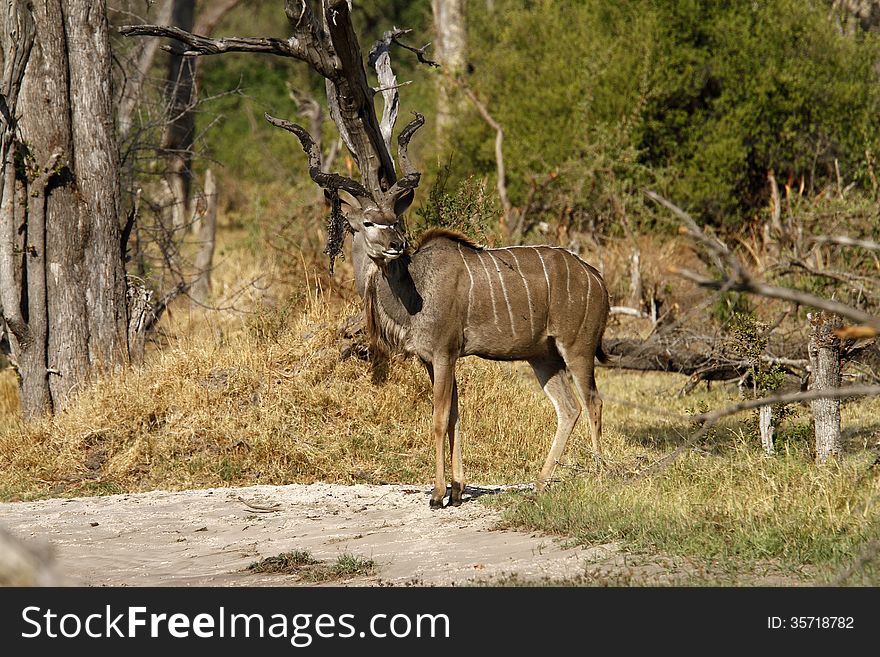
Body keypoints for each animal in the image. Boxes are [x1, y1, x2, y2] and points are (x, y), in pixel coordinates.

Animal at [270, 111, 612, 508]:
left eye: (393, 219)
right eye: (367, 222)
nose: (396, 244)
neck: (414, 289)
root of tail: (596, 277)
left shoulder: (445, 354)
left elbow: (438, 418)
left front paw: (437, 494)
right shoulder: (430, 359)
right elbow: (454, 416)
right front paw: (459, 488)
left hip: (577, 348)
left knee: (593, 402)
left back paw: (600, 476)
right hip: (542, 356)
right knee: (568, 408)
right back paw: (541, 483)